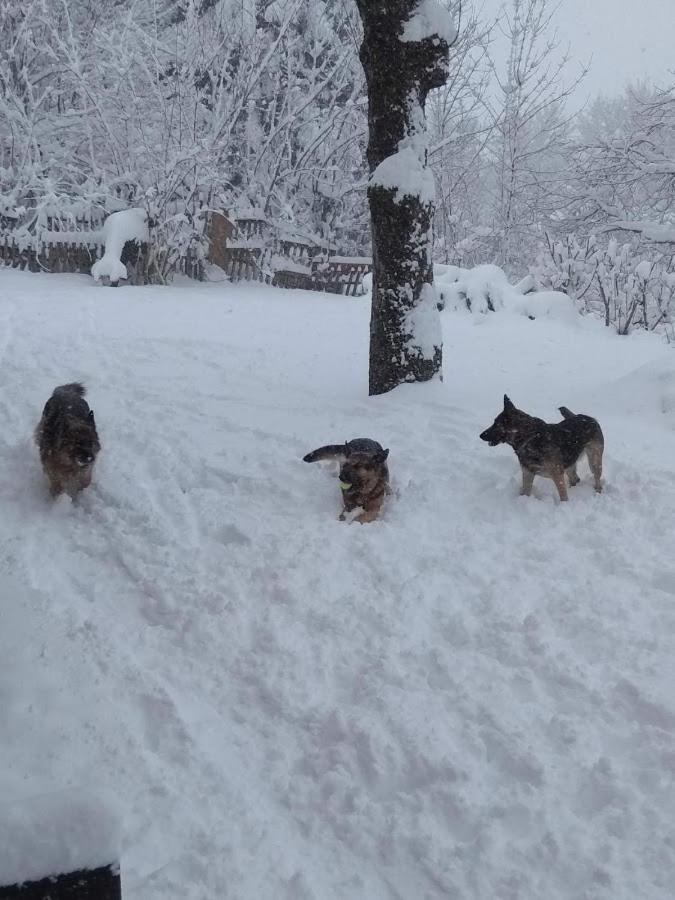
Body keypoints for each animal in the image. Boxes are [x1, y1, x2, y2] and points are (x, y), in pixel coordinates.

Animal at [480, 396, 608, 502]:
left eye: (496, 424)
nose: (480, 435)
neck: (529, 438)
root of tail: (587, 417)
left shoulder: (557, 475)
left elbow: (563, 497)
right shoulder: (527, 474)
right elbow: (525, 493)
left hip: (594, 461)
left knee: (596, 477)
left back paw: (597, 491)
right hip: (569, 463)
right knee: (575, 479)